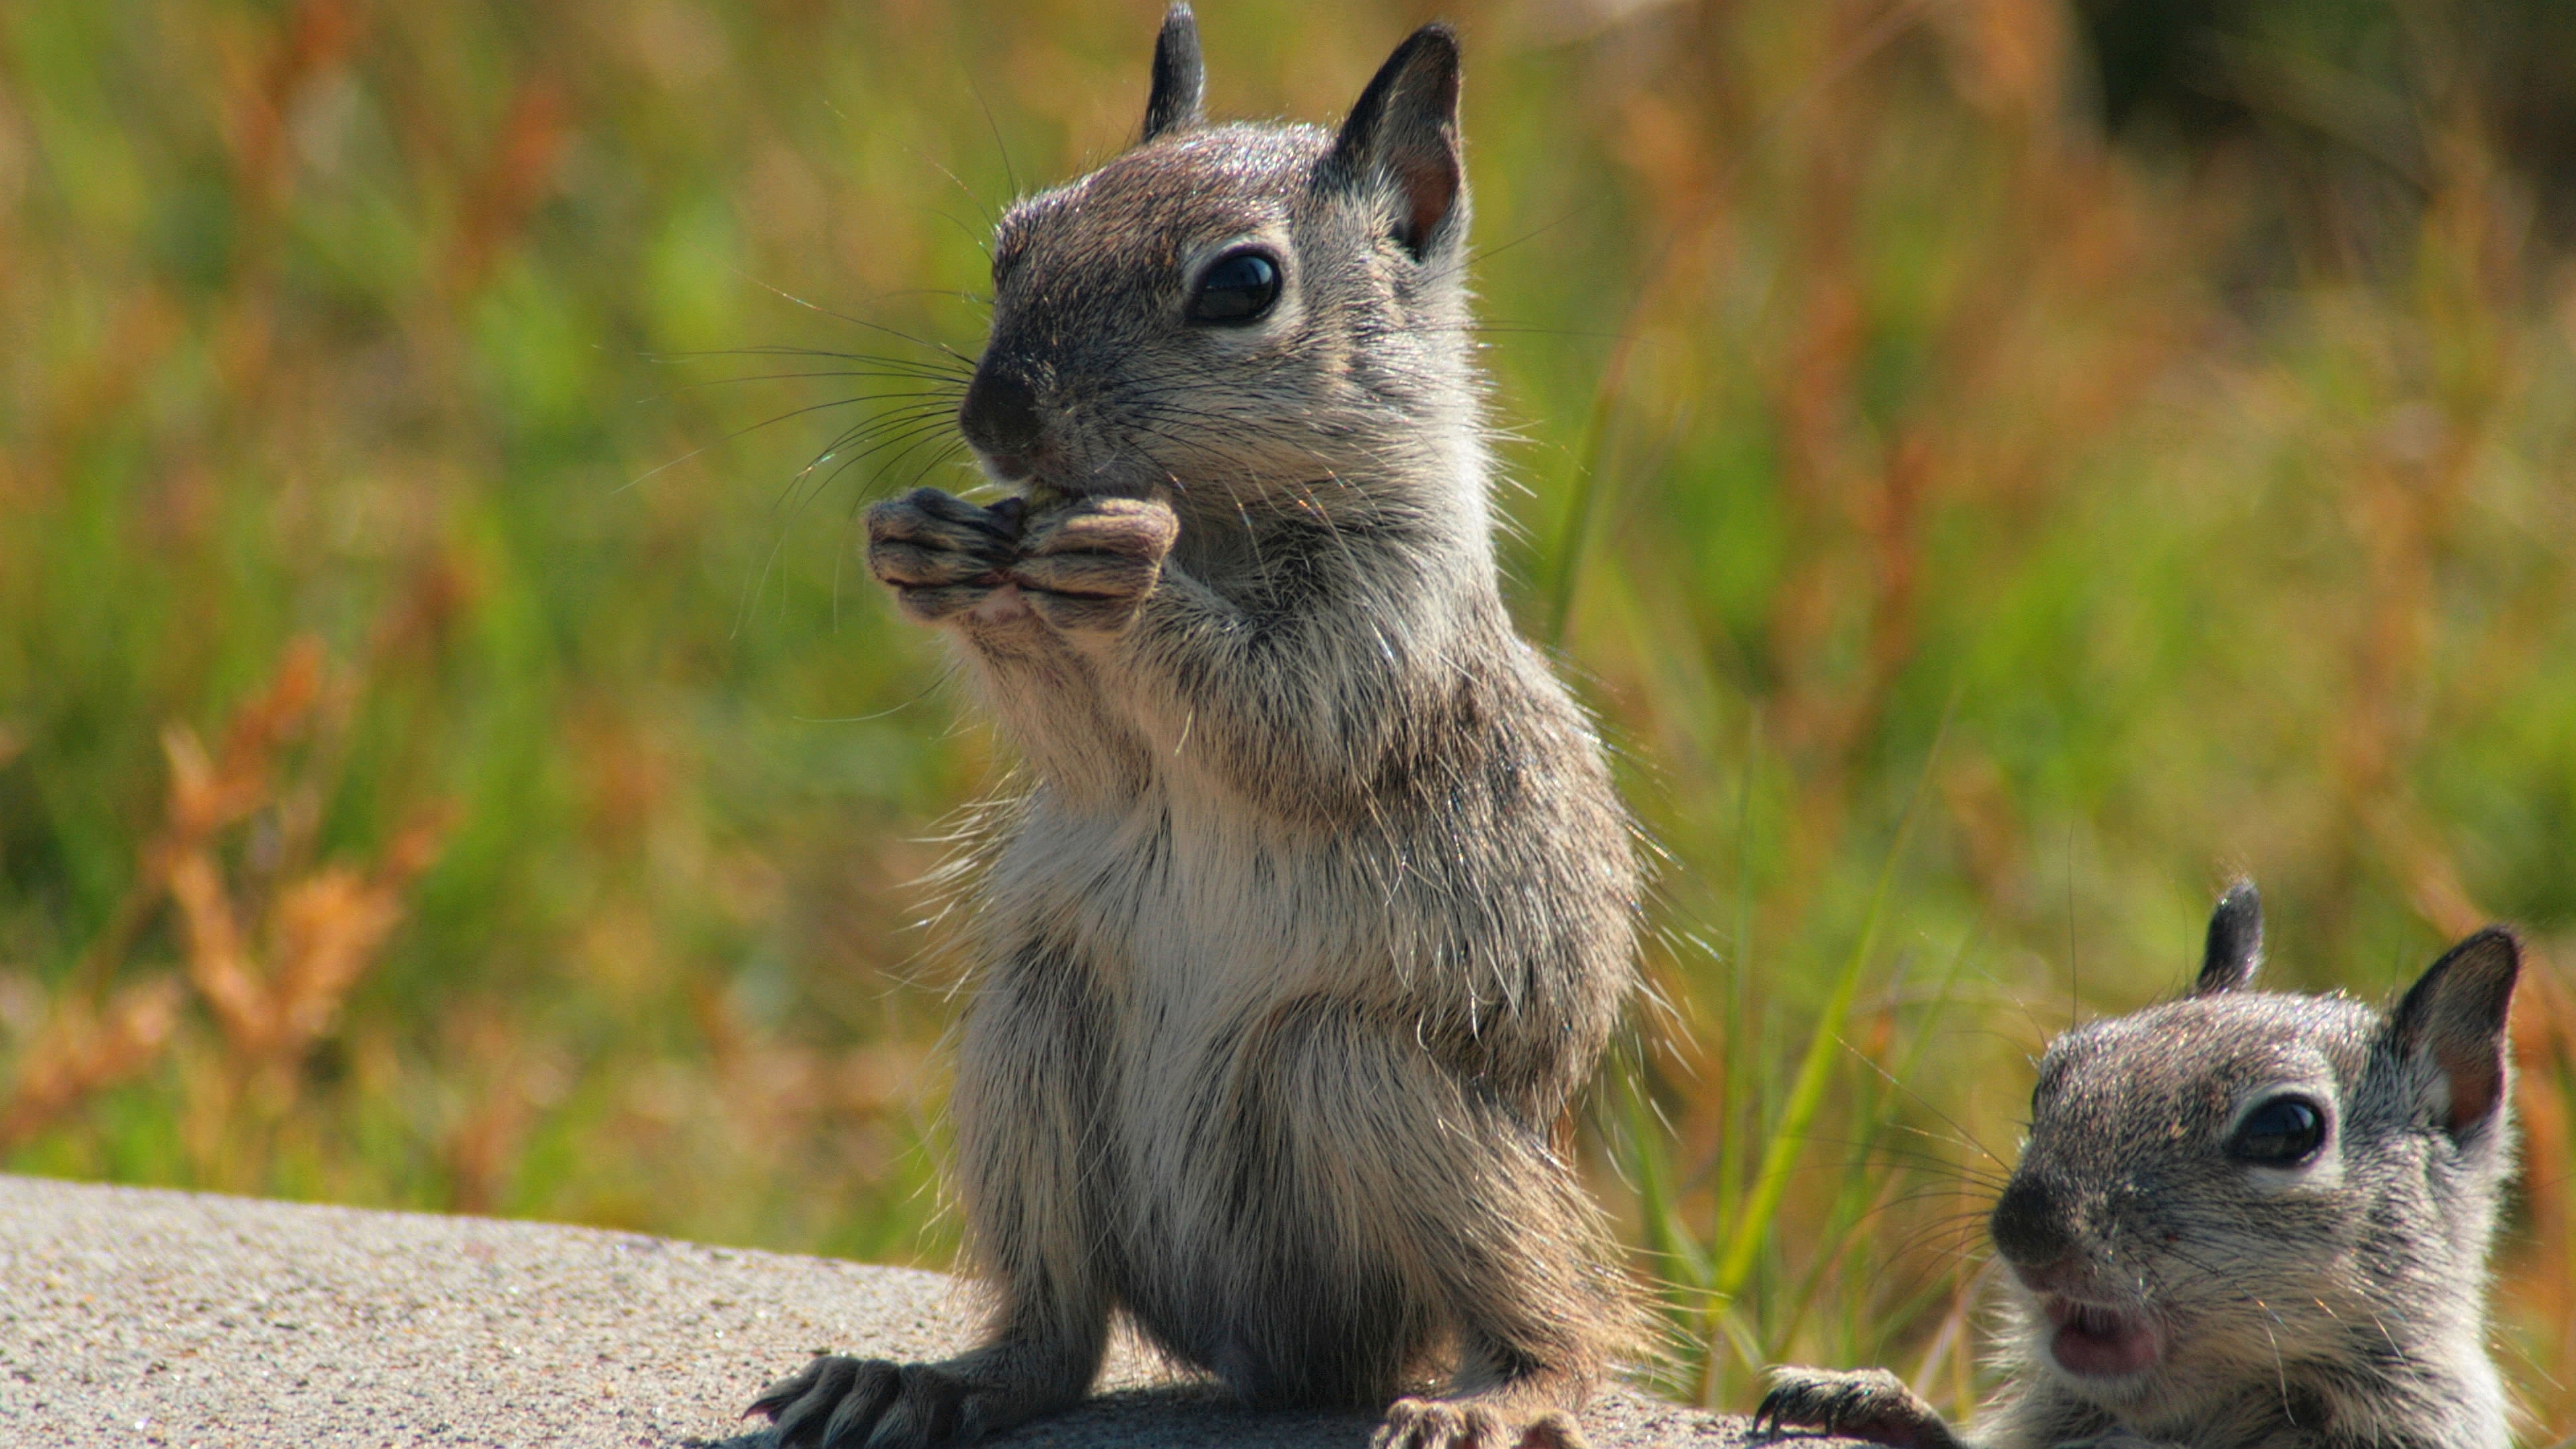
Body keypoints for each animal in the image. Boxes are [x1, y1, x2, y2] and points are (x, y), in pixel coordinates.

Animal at [747, 11, 1638, 1449]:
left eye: (1242, 285)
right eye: (1013, 240)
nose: (996, 422)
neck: (1215, 512)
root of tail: (1262, 1355)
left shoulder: (1388, 624)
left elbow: (1289, 720)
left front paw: (1127, 571)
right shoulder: (1101, 742)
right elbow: (1091, 748)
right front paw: (924, 545)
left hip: (1373, 1087)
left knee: (1558, 1313)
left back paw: (1501, 1394)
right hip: (1033, 1036)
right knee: (1058, 1335)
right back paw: (924, 1380)